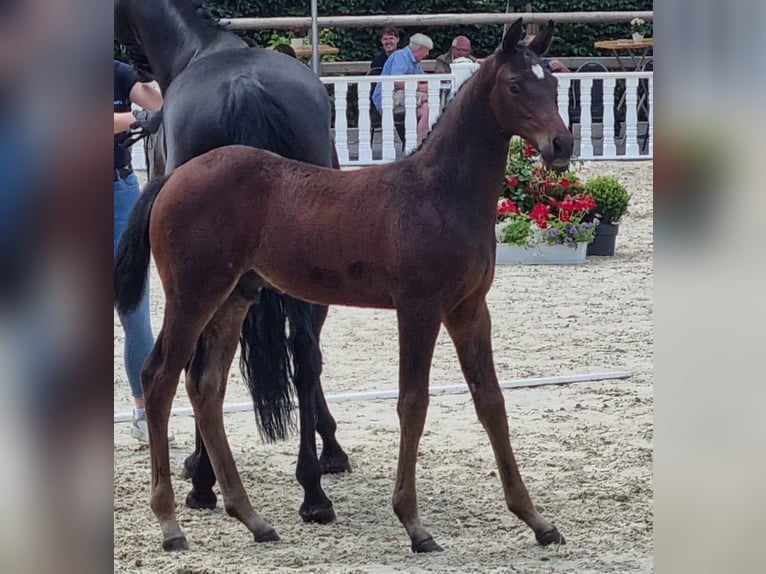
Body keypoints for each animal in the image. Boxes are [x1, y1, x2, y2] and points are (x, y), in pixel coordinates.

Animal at [115, 20, 576, 556]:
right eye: (515, 85)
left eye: (553, 82)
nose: (561, 145)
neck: (440, 194)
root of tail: (171, 180)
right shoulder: (418, 308)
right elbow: (413, 402)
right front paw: (414, 525)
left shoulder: (469, 309)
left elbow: (492, 402)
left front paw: (537, 520)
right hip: (193, 295)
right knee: (160, 377)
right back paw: (171, 523)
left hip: (234, 297)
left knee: (206, 387)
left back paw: (252, 518)